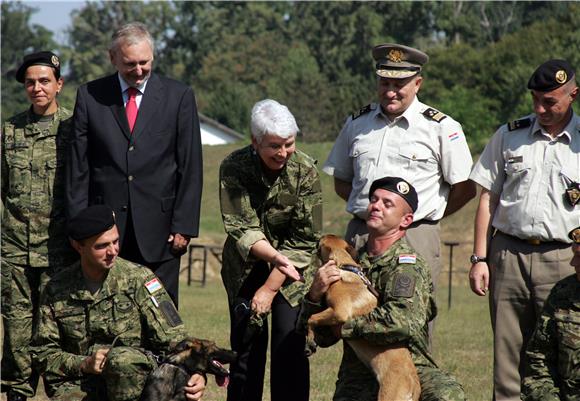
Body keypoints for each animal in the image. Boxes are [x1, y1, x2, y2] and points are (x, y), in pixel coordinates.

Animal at [308, 234, 422, 400]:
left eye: (320, 242)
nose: (316, 238)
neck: (343, 266)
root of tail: (414, 385)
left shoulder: (339, 312)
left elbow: (311, 318)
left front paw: (309, 341)